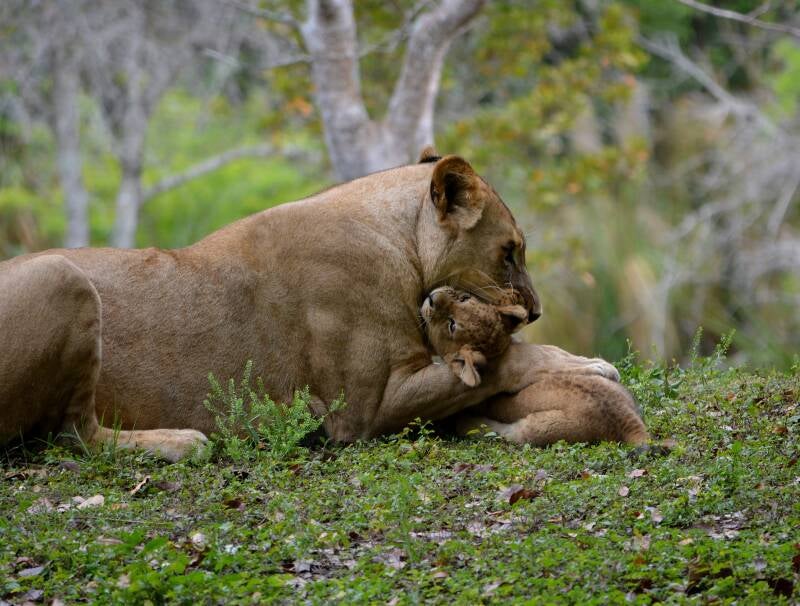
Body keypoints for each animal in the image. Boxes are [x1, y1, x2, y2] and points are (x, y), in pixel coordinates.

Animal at [0, 149, 617, 461]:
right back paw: (181, 443)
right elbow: (509, 359)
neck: (398, 240)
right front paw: (593, 366)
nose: (536, 311)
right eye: (509, 252)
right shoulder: (367, 409)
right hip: (61, 276)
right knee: (73, 434)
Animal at [421, 286, 649, 447]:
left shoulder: (541, 357)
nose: (431, 297)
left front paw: (604, 367)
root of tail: (626, 419)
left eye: (464, 299)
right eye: (451, 324)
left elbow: (568, 359)